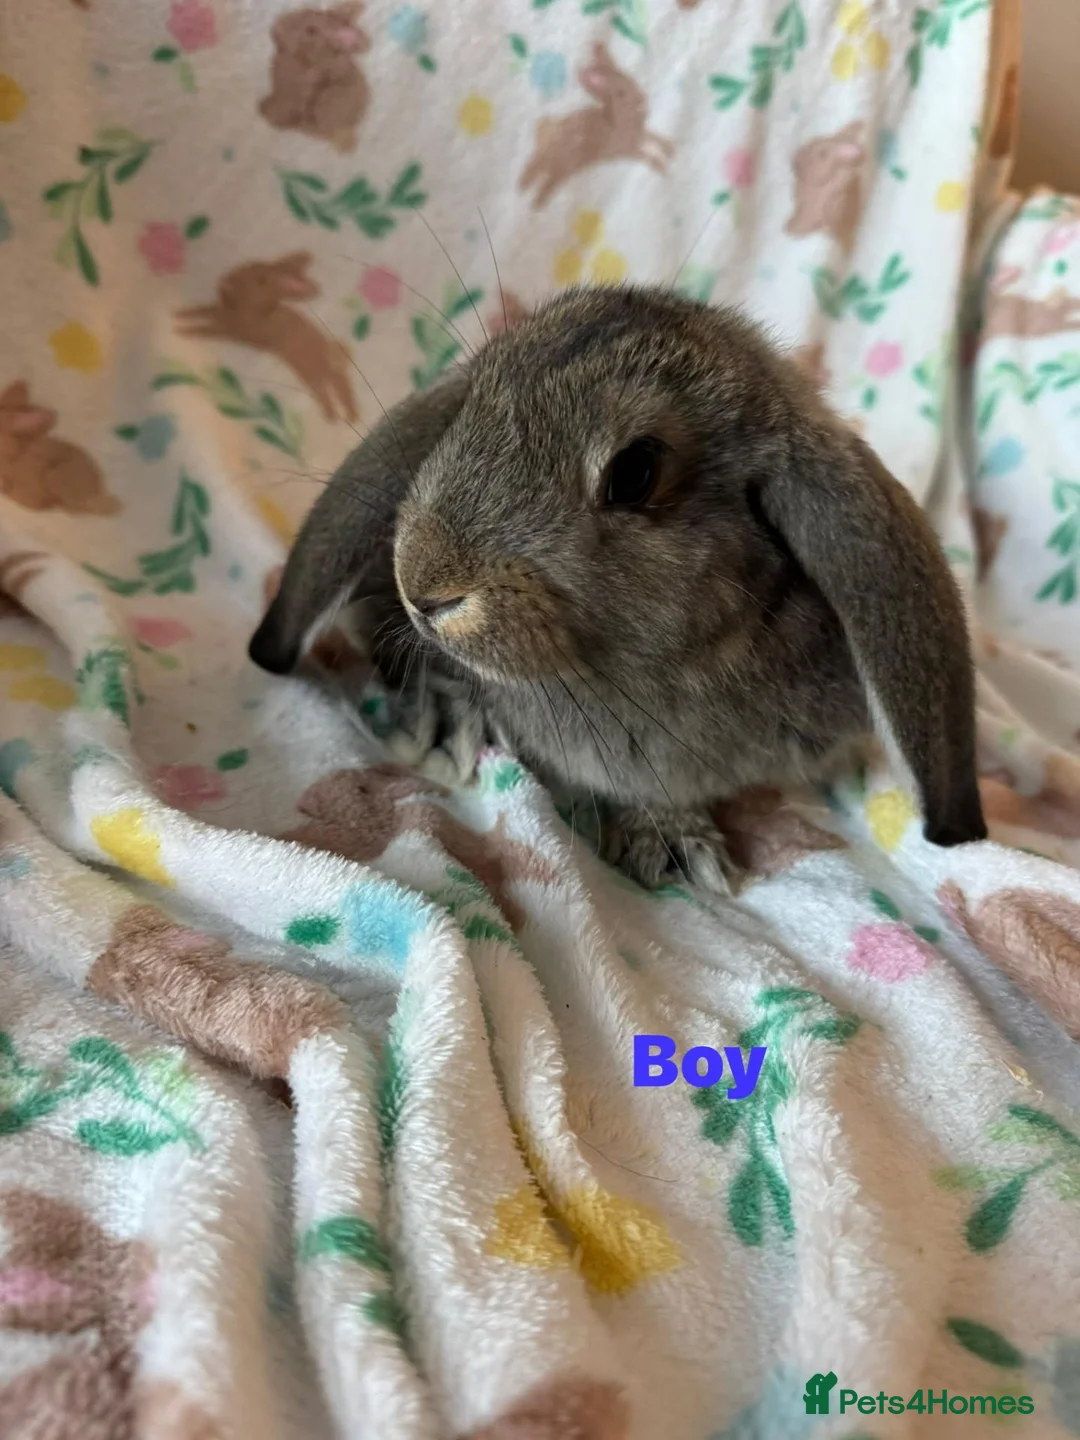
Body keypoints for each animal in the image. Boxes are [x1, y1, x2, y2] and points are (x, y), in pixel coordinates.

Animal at [174, 252, 359, 423]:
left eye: (261, 281)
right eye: (250, 265)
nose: (226, 279)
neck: (249, 309)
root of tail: (328, 349)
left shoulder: (227, 329)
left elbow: (203, 330)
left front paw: (182, 332)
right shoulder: (219, 313)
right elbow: (199, 311)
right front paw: (179, 314)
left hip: (310, 373)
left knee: (324, 391)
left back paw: (332, 415)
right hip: (326, 373)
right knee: (342, 388)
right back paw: (351, 414)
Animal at [518, 43, 674, 211]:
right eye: (621, 93)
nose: (643, 98)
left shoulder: (636, 138)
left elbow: (651, 137)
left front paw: (669, 149)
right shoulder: (627, 148)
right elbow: (645, 154)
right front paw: (661, 166)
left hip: (559, 162)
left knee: (542, 170)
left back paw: (527, 191)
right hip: (562, 161)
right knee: (545, 175)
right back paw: (532, 198)